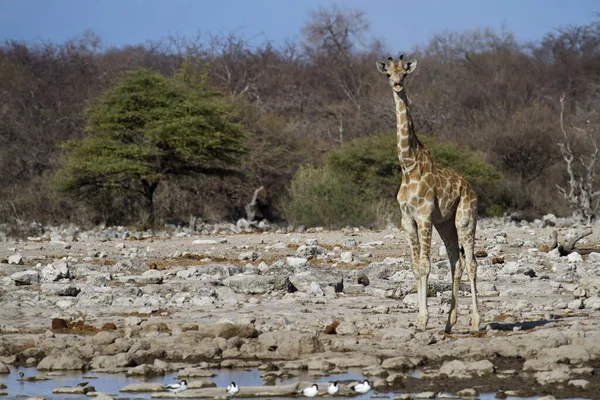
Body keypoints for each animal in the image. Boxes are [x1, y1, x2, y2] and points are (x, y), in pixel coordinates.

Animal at [378, 54, 480, 332]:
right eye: (388, 74)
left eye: (405, 73)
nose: (398, 85)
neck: (408, 166)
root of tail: (471, 188)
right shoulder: (408, 220)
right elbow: (415, 267)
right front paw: (420, 318)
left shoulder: (423, 216)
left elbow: (425, 265)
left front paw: (423, 319)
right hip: (445, 224)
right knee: (456, 262)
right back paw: (449, 322)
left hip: (465, 219)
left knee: (472, 263)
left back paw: (476, 321)